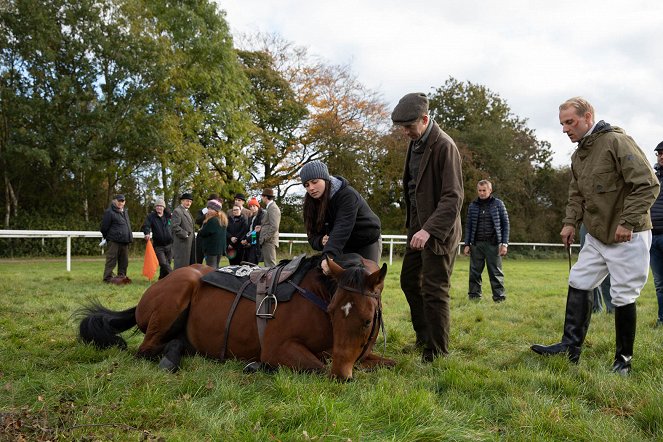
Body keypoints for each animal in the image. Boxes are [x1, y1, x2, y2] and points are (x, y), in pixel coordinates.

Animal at [76, 254, 396, 382]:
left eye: (367, 320)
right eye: (331, 312)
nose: (342, 376)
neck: (315, 295)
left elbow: (389, 363)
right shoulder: (278, 349)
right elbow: (316, 367)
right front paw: (258, 366)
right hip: (178, 293)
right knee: (145, 350)